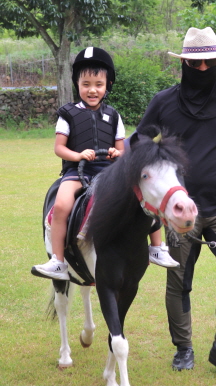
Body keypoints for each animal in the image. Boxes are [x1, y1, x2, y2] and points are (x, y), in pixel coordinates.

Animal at [32, 126, 197, 386]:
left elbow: (114, 334)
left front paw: (109, 377)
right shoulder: (108, 286)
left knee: (85, 290)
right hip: (58, 269)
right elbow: (119, 342)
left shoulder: (129, 287)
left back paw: (87, 334)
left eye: (178, 171)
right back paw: (65, 356)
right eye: (144, 175)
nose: (186, 211)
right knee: (62, 305)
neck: (122, 236)